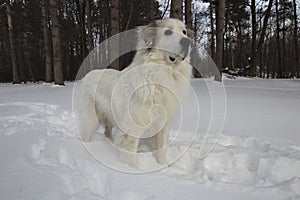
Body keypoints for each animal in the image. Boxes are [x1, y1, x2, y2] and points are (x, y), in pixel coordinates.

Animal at [77, 18, 193, 167]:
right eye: (168, 32)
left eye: (184, 32)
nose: (187, 42)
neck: (162, 73)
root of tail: (89, 74)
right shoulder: (132, 129)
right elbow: (130, 154)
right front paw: (134, 169)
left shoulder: (163, 125)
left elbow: (161, 150)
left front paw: (163, 166)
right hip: (91, 118)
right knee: (86, 133)